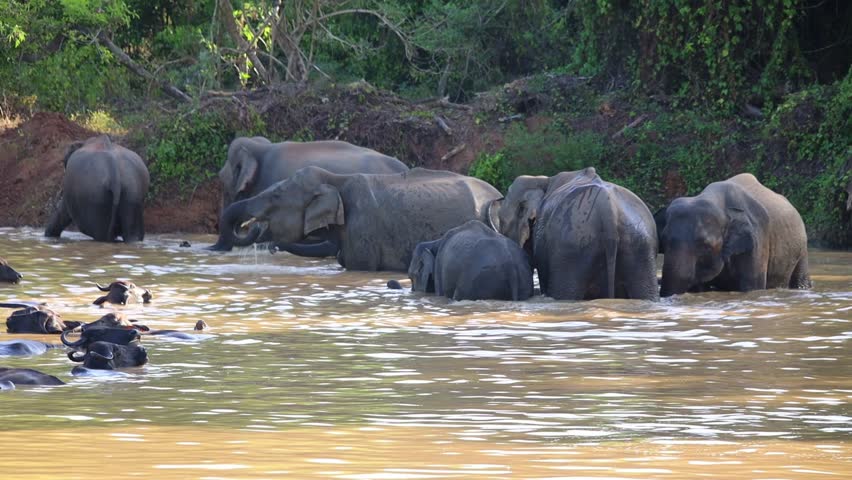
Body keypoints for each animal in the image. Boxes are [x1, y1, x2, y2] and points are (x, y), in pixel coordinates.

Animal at [489, 167, 658, 301]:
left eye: (502, 220)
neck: (542, 180)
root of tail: (609, 211)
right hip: (640, 246)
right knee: (646, 293)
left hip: (571, 249)